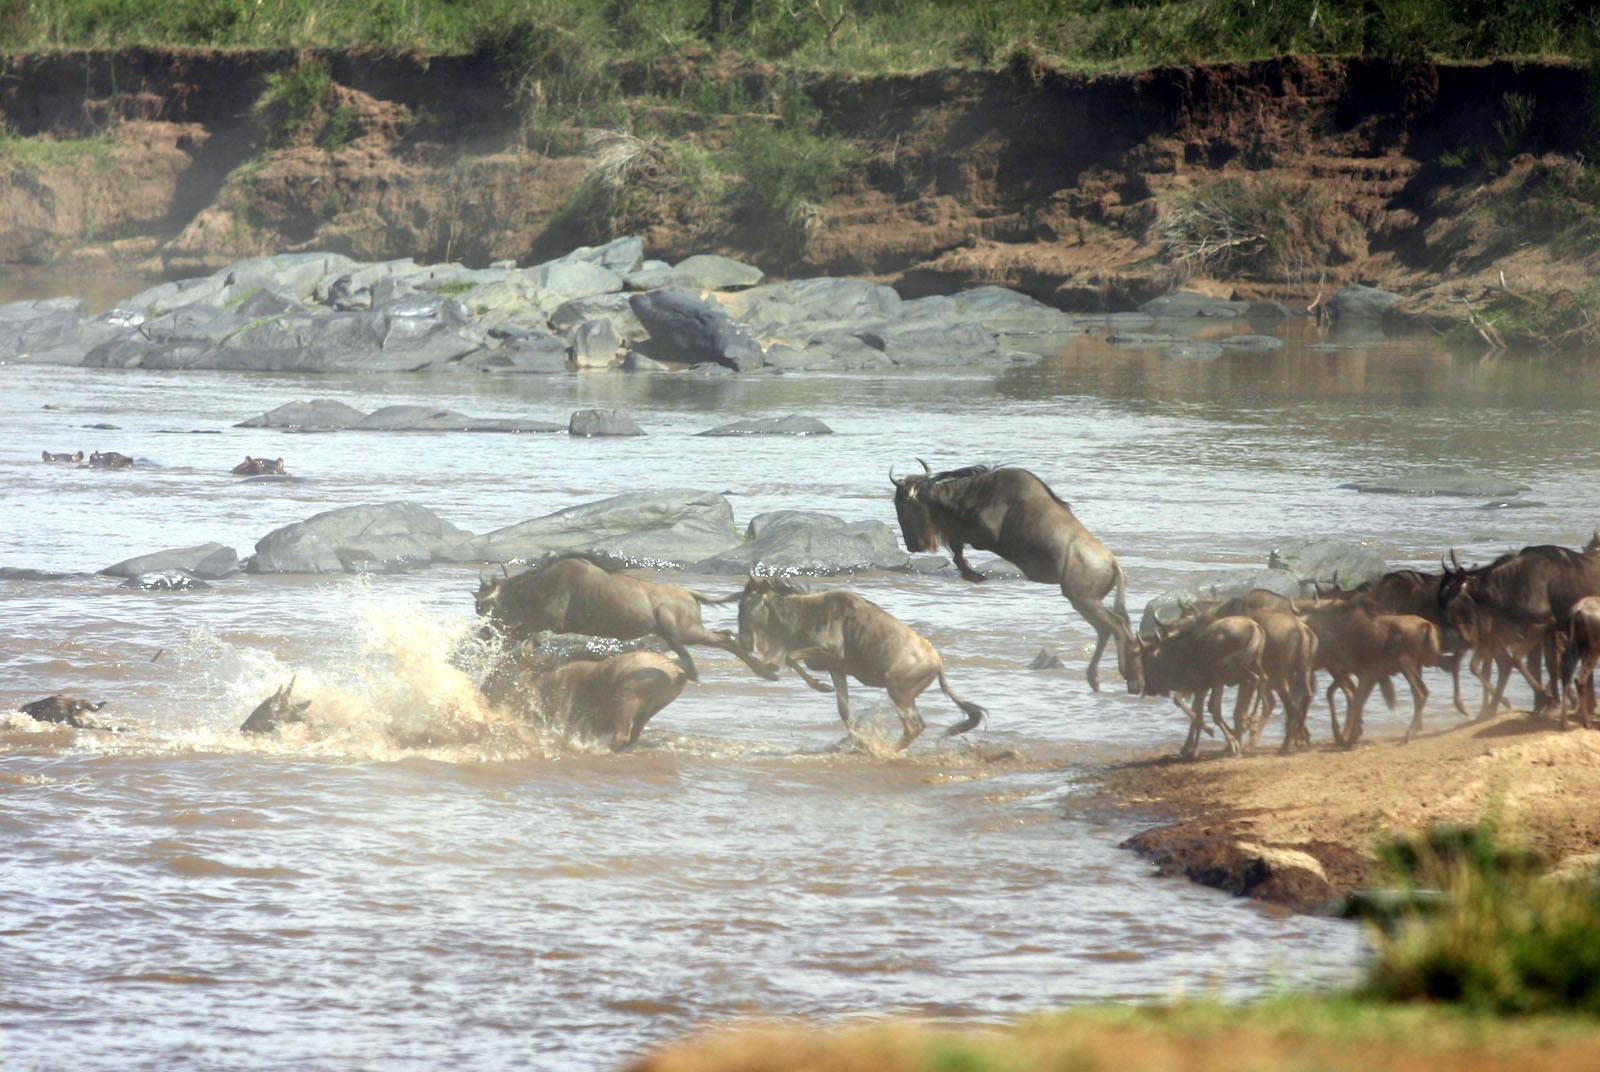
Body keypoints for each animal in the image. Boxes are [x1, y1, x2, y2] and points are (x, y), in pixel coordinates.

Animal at [473, 560, 774, 684]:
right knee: (718, 638)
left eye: (482, 606)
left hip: (684, 631)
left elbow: (524, 631)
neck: (534, 587)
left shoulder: (553, 621)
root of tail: (691, 594)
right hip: (675, 632)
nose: (483, 634)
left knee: (726, 637)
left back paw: (764, 672)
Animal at [739, 579, 985, 748]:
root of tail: (938, 664)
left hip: (898, 692)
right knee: (919, 725)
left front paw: (819, 686)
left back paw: (888, 752)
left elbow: (790, 656)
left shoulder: (831, 653)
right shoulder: (836, 668)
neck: (804, 611)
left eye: (746, 601)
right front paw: (855, 739)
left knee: (913, 726)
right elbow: (843, 710)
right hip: (906, 696)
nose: (743, 640)